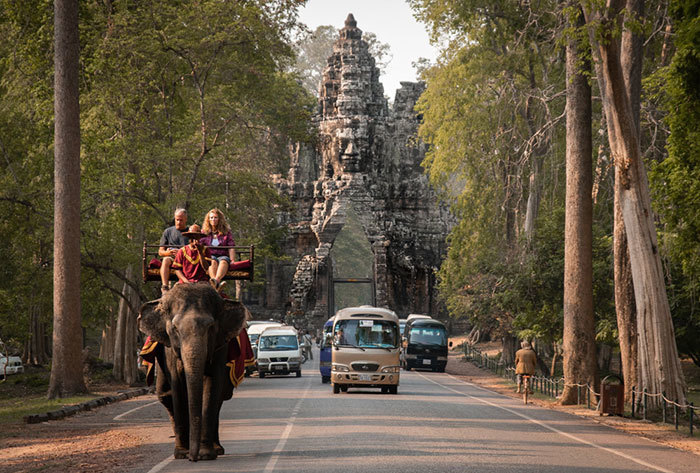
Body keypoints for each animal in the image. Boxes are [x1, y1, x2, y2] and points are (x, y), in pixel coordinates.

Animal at [137, 282, 249, 460]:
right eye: (175, 328)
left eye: (210, 327)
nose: (193, 458)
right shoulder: (170, 350)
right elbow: (177, 388)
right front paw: (182, 454)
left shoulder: (220, 346)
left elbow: (212, 386)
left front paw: (206, 455)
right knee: (165, 395)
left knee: (221, 396)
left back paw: (217, 449)